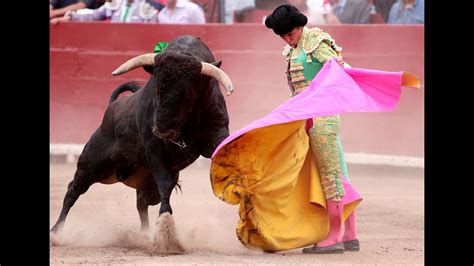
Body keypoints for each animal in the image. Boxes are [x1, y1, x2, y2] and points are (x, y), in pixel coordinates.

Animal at [51, 34, 233, 233]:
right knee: (73, 190)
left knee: (141, 203)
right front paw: (166, 225)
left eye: (187, 94)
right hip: (92, 164)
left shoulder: (217, 135)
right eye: (157, 88)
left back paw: (145, 234)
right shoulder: (154, 147)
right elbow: (165, 183)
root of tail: (111, 107)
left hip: (144, 182)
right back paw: (56, 231)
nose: (162, 129)